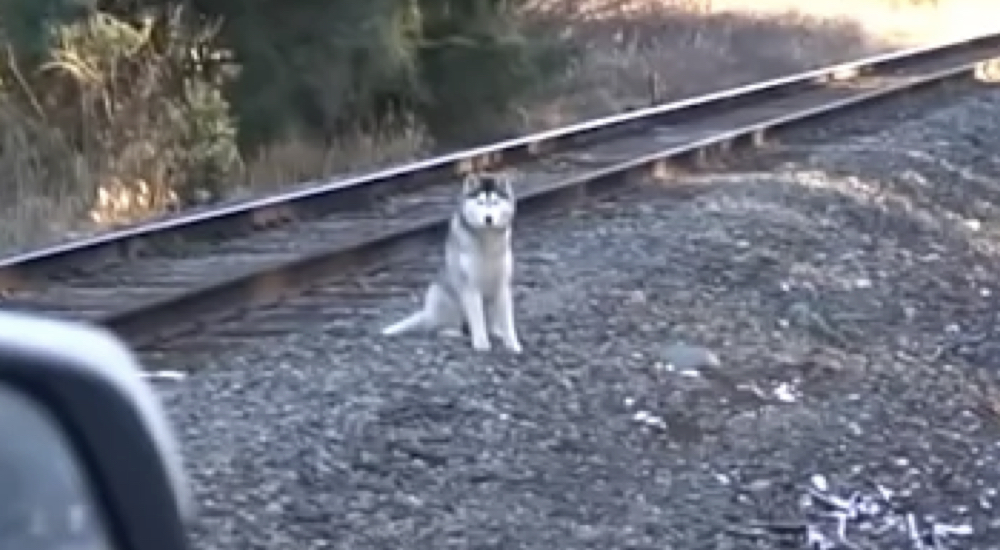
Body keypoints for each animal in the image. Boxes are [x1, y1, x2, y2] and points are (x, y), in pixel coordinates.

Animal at [382, 172, 524, 354]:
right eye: (480, 202)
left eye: (495, 202)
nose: (488, 219)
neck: (487, 238)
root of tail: (427, 313)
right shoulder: (470, 286)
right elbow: (477, 318)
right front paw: (481, 343)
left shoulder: (502, 285)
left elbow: (507, 321)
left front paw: (512, 344)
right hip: (442, 296)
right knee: (440, 327)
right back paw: (451, 332)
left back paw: (495, 331)